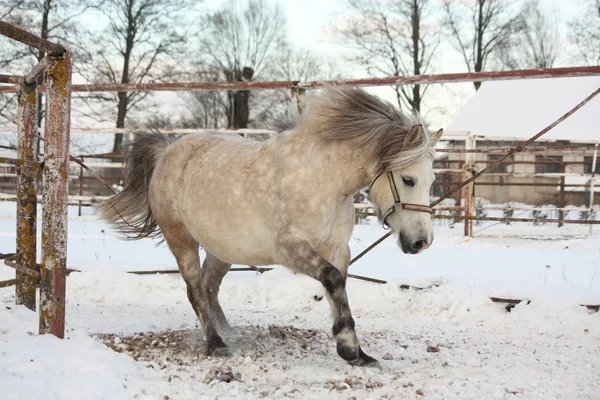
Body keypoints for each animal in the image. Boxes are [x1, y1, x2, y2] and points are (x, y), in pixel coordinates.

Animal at [98, 86, 442, 368]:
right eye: (408, 179)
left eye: (432, 181)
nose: (421, 242)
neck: (322, 179)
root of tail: (168, 150)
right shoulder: (291, 249)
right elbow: (332, 279)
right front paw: (348, 347)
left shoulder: (338, 249)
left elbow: (338, 286)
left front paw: (356, 351)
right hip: (181, 239)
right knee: (196, 291)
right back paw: (216, 343)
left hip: (222, 249)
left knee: (210, 288)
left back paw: (228, 332)